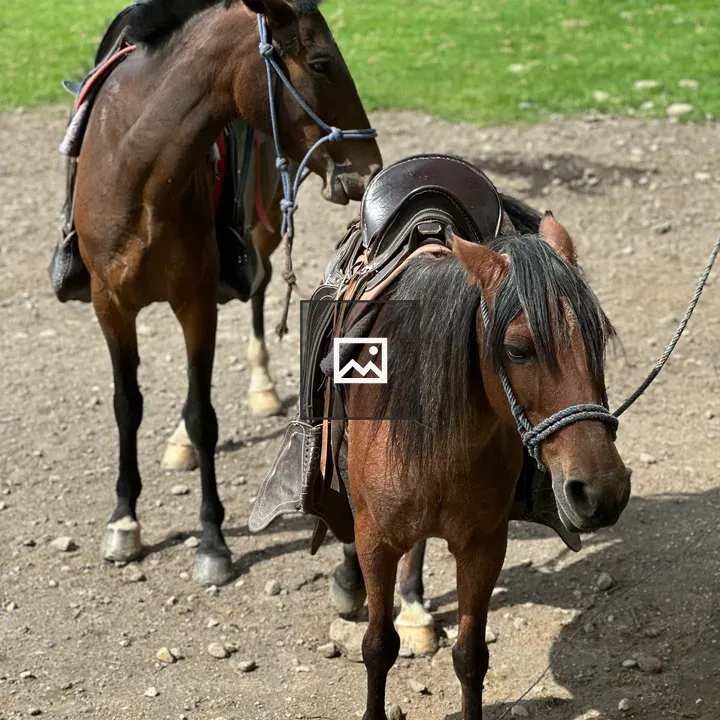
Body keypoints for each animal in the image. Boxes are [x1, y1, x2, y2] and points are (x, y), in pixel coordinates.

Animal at [73, 0, 381, 586]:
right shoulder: (109, 304)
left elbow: (204, 414)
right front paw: (124, 521)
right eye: (322, 63)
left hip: (260, 225)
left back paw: (260, 384)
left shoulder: (195, 302)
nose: (370, 166)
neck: (138, 168)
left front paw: (212, 542)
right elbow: (127, 405)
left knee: (259, 287)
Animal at [332, 213, 631, 719]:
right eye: (517, 349)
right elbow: (377, 645)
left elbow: (471, 657)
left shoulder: (484, 545)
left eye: (599, 336)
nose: (602, 491)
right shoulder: (375, 539)